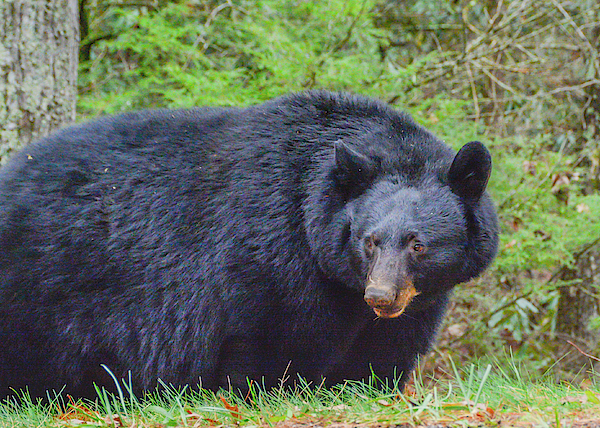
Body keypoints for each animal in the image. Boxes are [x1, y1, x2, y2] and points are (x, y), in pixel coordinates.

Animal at [0, 91, 496, 398]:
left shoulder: (416, 300)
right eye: (370, 241)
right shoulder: (273, 260)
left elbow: (386, 350)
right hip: (40, 291)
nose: (380, 295)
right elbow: (270, 344)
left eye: (418, 245)